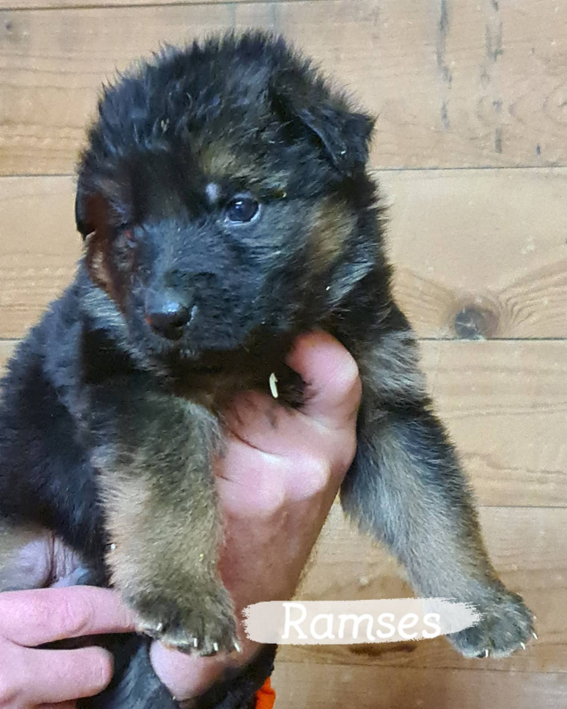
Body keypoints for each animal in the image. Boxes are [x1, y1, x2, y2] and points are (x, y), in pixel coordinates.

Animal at [0, 31, 534, 705]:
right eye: (127, 230)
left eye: (240, 206)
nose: (163, 316)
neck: (260, 350)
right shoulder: (140, 391)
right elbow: (170, 495)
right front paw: (183, 595)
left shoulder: (386, 407)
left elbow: (433, 507)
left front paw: (480, 602)